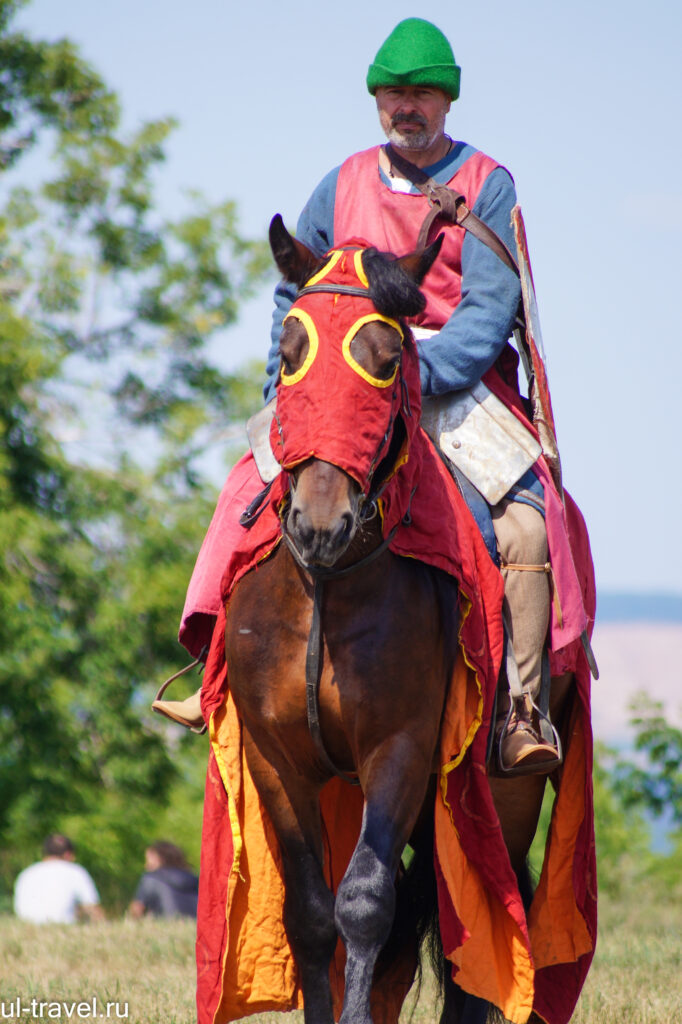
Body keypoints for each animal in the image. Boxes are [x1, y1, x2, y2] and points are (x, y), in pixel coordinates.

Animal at [223, 211, 577, 1019]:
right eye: (292, 350)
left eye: (387, 359)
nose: (321, 523)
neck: (327, 585)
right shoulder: (275, 758)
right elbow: (310, 914)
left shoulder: (401, 748)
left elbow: (364, 903)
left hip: (507, 790)